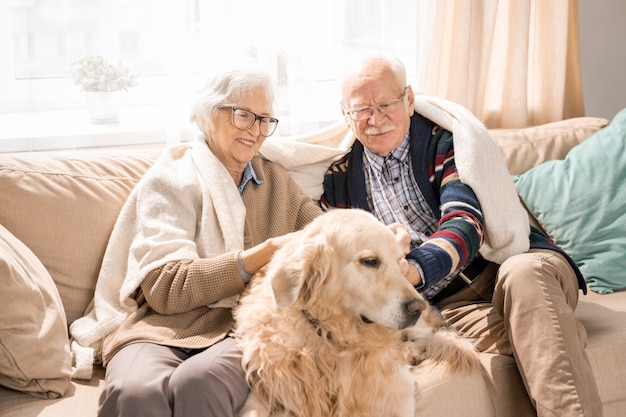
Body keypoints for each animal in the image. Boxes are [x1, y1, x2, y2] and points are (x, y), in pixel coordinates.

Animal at [232, 210, 480, 414]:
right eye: (370, 261)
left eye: (399, 260)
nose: (417, 307)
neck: (327, 333)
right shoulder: (268, 388)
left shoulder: (394, 391)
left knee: (428, 336)